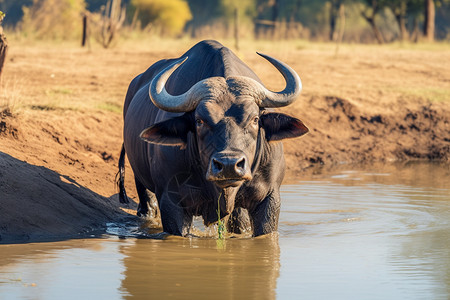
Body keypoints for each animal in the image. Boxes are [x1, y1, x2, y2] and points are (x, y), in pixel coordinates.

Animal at [118, 39, 308, 237]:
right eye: (199, 120)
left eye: (255, 119)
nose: (229, 165)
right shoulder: (171, 201)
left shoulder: (269, 197)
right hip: (140, 180)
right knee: (147, 204)